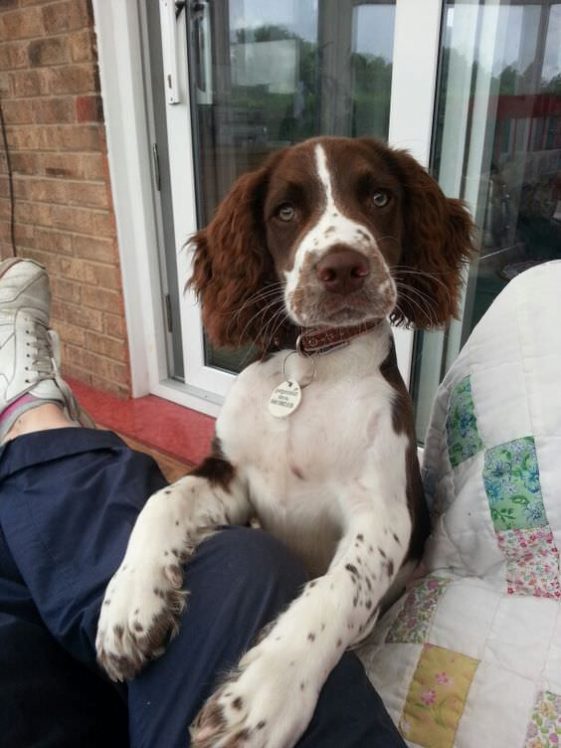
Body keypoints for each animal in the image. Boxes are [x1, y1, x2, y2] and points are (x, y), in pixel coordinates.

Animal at [96, 136, 472, 748]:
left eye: (380, 197)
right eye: (286, 212)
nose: (342, 268)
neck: (313, 364)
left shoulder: (384, 518)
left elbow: (337, 590)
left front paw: (260, 698)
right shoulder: (233, 477)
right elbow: (161, 501)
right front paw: (129, 613)